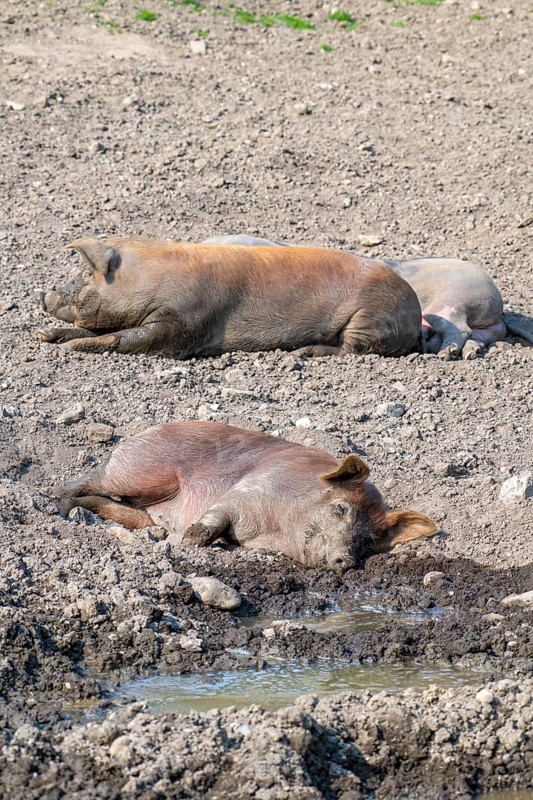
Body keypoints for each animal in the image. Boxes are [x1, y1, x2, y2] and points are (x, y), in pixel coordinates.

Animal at [38, 237, 422, 358]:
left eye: (85, 276)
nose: (45, 295)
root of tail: (416, 312)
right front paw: (46, 336)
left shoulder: (185, 320)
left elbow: (135, 338)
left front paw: (71, 347)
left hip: (371, 317)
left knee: (351, 348)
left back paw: (304, 352)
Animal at [54, 421, 437, 573]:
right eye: (341, 508)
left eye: (369, 539)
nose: (346, 559)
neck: (276, 530)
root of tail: (142, 433)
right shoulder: (249, 488)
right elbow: (217, 515)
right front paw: (191, 540)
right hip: (142, 471)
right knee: (94, 477)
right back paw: (55, 497)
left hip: (139, 508)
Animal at [204, 235, 533, 358]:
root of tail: (499, 309)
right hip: (469, 319)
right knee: (476, 338)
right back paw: (460, 352)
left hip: (452, 301)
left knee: (459, 329)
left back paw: (445, 353)